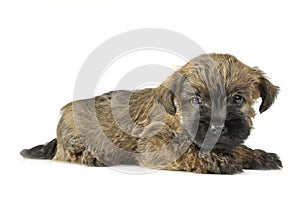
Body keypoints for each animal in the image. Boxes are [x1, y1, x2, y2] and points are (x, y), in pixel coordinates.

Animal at [20, 53, 282, 173]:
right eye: (196, 100)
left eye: (238, 99)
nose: (218, 126)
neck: (179, 118)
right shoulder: (155, 146)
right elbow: (187, 155)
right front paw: (218, 161)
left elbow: (236, 148)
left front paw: (257, 156)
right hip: (75, 136)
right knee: (68, 154)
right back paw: (93, 157)